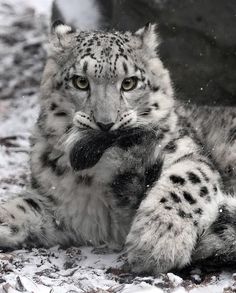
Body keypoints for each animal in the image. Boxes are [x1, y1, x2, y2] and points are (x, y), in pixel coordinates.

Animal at [0, 21, 236, 274]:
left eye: (129, 83)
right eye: (80, 81)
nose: (105, 124)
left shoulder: (186, 152)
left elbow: (186, 181)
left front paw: (158, 239)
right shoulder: (61, 205)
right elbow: (24, 206)